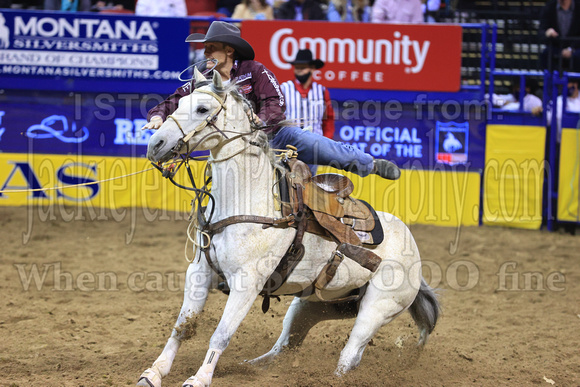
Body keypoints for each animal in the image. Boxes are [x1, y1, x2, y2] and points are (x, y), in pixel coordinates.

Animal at [139, 70, 440, 387]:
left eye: (202, 109)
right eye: (179, 103)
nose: (156, 144)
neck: (248, 201)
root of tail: (415, 252)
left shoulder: (247, 283)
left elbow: (220, 335)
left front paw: (199, 379)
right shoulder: (199, 272)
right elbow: (182, 327)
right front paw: (154, 372)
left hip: (377, 308)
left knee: (350, 355)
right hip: (313, 305)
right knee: (285, 346)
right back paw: (252, 368)